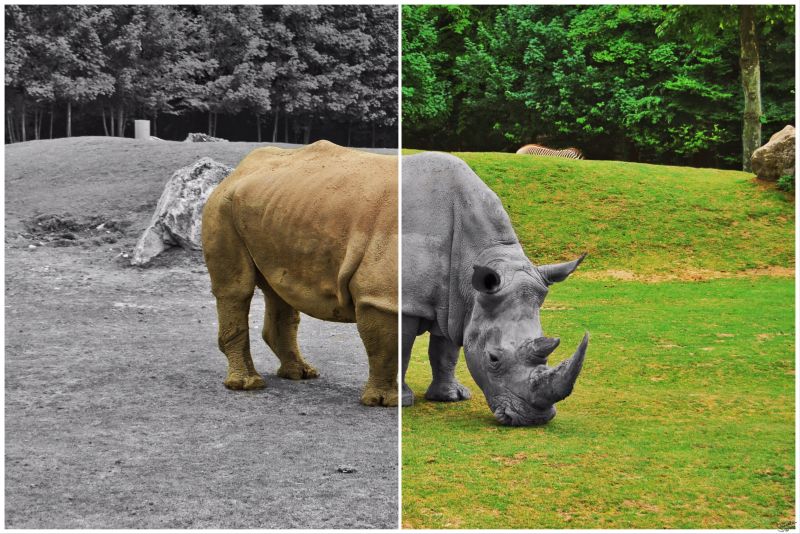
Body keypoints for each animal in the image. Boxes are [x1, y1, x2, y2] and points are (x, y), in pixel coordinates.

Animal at [202, 140, 398, 406]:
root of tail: (235, 172)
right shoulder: (379, 296)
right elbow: (385, 348)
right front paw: (384, 402)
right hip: (223, 207)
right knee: (237, 290)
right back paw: (246, 384)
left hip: (273, 206)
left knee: (279, 287)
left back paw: (300, 374)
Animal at [401, 152, 588, 425]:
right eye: (493, 358)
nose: (533, 419)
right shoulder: (407, 302)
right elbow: (402, 348)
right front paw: (402, 400)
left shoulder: (457, 301)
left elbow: (446, 351)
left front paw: (450, 397)